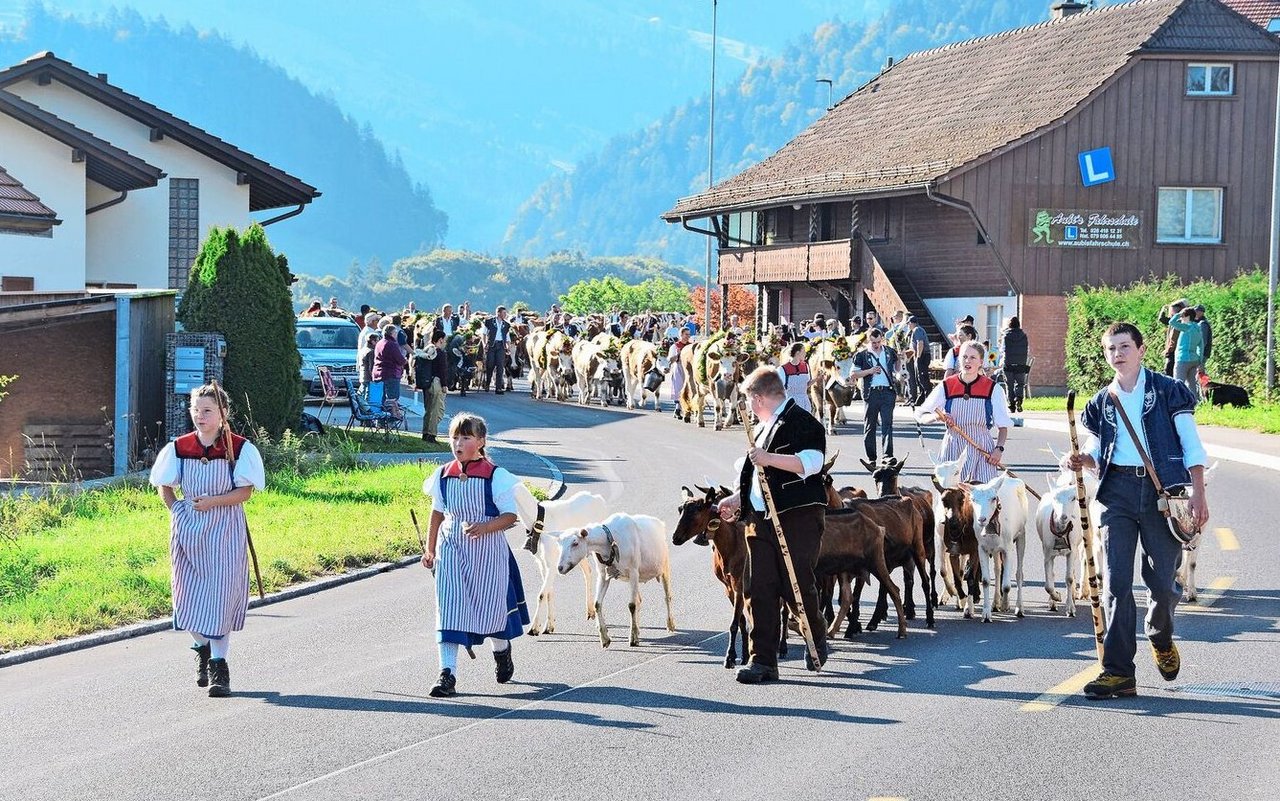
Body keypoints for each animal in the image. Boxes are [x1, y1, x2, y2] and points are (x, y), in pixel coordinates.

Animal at [509, 483, 609, 632]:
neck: (538, 520)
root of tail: (599, 499)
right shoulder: (542, 562)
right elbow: (549, 592)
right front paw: (549, 626)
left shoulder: (552, 561)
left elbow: (542, 594)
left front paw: (534, 628)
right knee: (588, 571)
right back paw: (590, 611)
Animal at [560, 511, 680, 650]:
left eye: (575, 543)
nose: (560, 568)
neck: (610, 540)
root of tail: (659, 523)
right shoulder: (603, 575)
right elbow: (597, 604)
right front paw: (605, 639)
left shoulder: (633, 571)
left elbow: (631, 605)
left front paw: (632, 639)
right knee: (639, 600)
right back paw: (638, 629)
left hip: (664, 566)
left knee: (667, 596)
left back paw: (670, 624)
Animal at [967, 473, 1029, 616]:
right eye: (973, 499)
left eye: (993, 498)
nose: (982, 519)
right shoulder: (982, 548)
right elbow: (985, 581)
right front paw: (986, 614)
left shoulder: (1008, 549)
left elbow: (1006, 585)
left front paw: (1006, 605)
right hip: (995, 550)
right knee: (997, 570)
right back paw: (995, 603)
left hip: (1021, 536)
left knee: (1019, 573)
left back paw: (1019, 608)